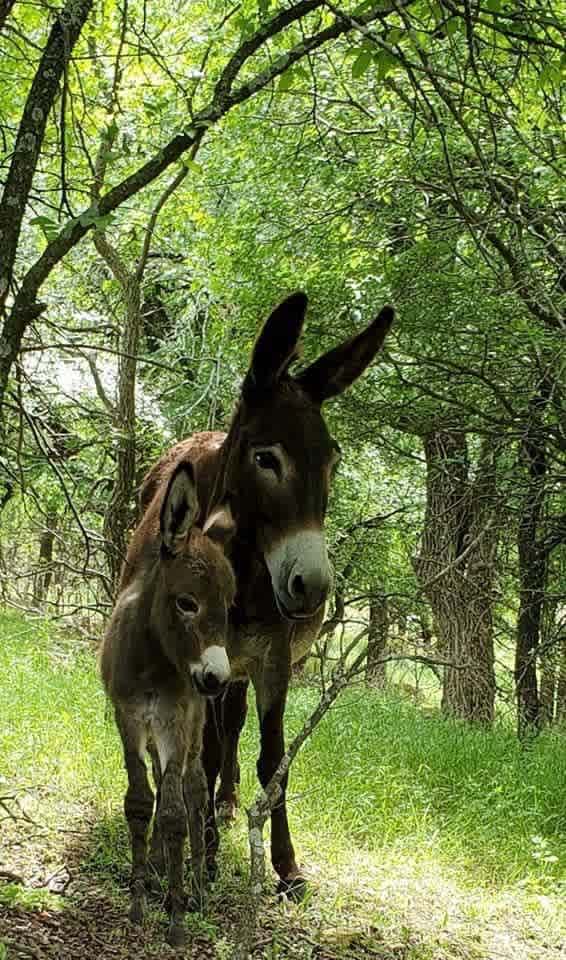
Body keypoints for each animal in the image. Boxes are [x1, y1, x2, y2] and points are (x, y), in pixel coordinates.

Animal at [101, 464, 236, 944]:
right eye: (187, 603)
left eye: (229, 607)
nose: (218, 679)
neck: (151, 660)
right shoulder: (128, 717)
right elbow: (140, 802)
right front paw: (138, 902)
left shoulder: (176, 720)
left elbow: (177, 812)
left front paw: (177, 918)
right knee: (165, 781)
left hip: (192, 728)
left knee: (194, 787)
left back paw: (195, 887)